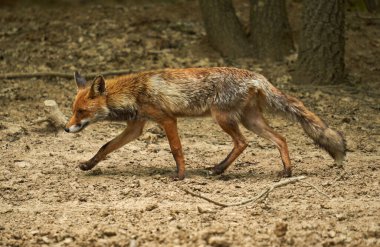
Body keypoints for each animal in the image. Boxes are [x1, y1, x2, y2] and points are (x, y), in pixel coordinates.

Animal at [66, 67, 348, 179]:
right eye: (72, 111)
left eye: (81, 111)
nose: (66, 128)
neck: (134, 91)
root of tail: (256, 76)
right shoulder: (136, 126)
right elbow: (105, 147)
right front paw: (88, 164)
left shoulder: (167, 119)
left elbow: (176, 150)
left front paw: (180, 176)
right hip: (250, 120)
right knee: (280, 138)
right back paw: (286, 171)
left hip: (222, 117)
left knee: (243, 143)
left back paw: (219, 169)